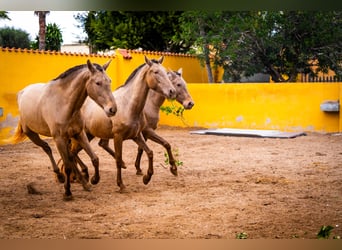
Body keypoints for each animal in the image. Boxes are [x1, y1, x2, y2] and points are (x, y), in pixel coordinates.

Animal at [11, 59, 117, 200]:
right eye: (98, 83)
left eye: (109, 81)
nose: (112, 109)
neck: (64, 104)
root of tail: (22, 92)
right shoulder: (59, 138)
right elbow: (67, 166)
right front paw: (67, 192)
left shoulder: (79, 134)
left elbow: (94, 158)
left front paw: (94, 180)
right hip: (32, 134)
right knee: (47, 148)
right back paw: (60, 175)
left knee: (69, 156)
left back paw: (83, 182)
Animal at [69, 54, 176, 191]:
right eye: (156, 72)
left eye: (165, 72)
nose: (172, 91)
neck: (129, 105)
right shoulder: (118, 137)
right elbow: (119, 160)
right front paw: (121, 184)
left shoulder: (137, 135)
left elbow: (151, 152)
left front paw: (148, 177)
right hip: (80, 136)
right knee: (72, 153)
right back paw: (83, 177)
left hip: (87, 135)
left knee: (73, 153)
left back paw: (82, 177)